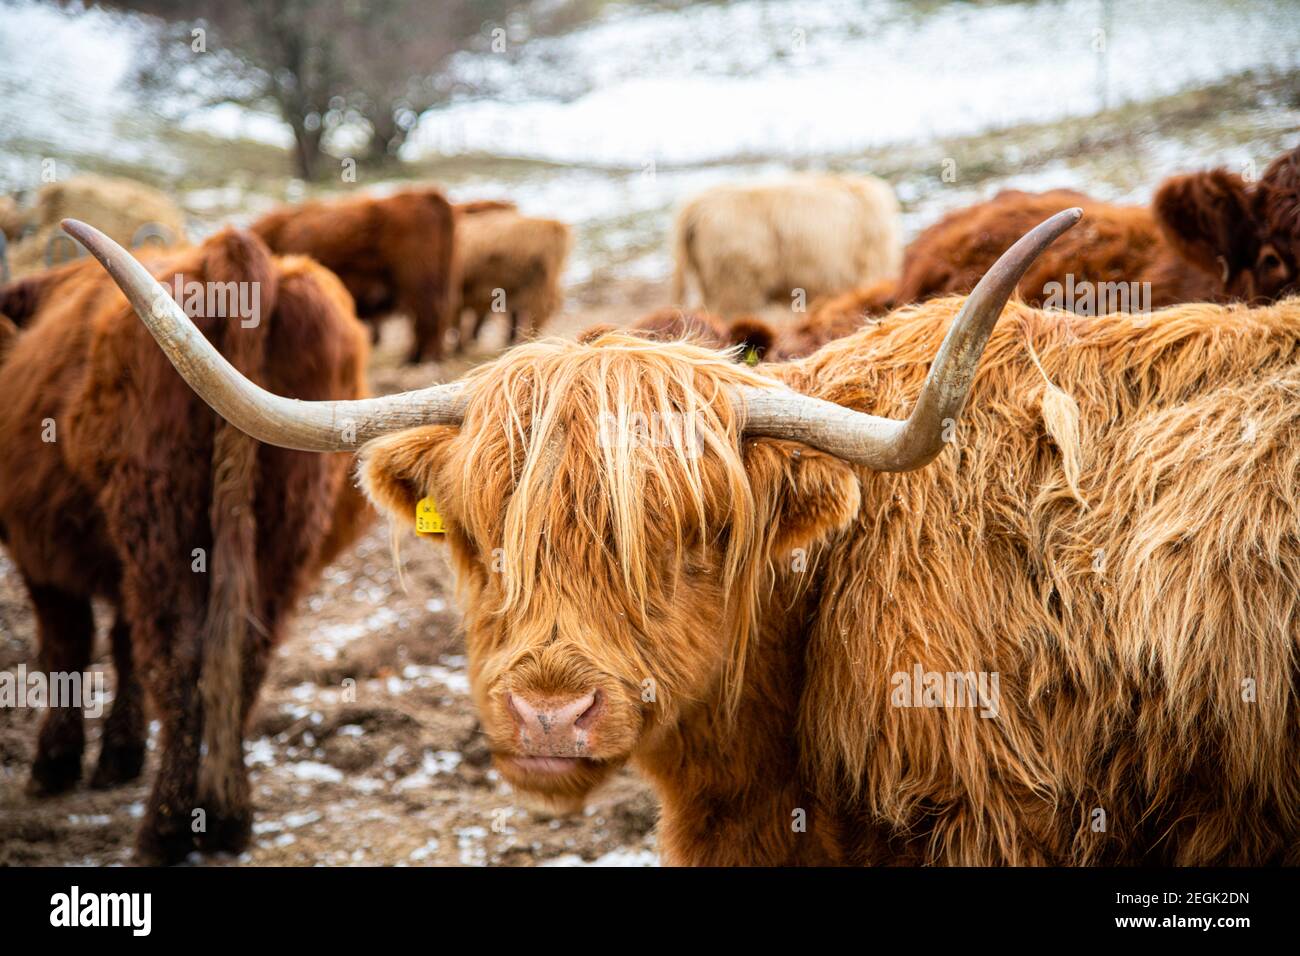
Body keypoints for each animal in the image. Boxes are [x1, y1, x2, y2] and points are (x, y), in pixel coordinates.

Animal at [2, 226, 369, 868]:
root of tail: (234, 247)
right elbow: (120, 646)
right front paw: (116, 756)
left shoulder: (40, 557)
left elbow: (68, 648)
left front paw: (56, 764)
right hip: (283, 534)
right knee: (245, 654)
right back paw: (229, 819)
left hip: (159, 528)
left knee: (177, 657)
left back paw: (164, 830)